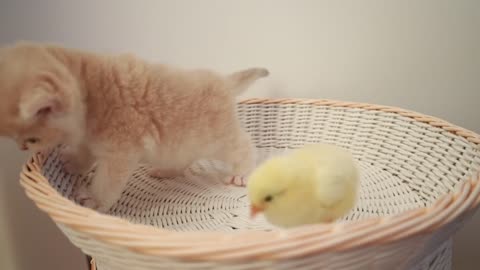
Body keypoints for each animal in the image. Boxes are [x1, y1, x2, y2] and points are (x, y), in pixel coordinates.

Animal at [0, 42, 268, 212]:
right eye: (13, 138)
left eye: (32, 139)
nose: (22, 147)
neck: (89, 91)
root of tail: (223, 80)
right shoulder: (90, 139)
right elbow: (84, 154)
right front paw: (74, 163)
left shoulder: (120, 154)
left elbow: (106, 182)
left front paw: (94, 199)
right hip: (183, 142)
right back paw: (167, 170)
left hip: (216, 139)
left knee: (244, 147)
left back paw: (241, 172)